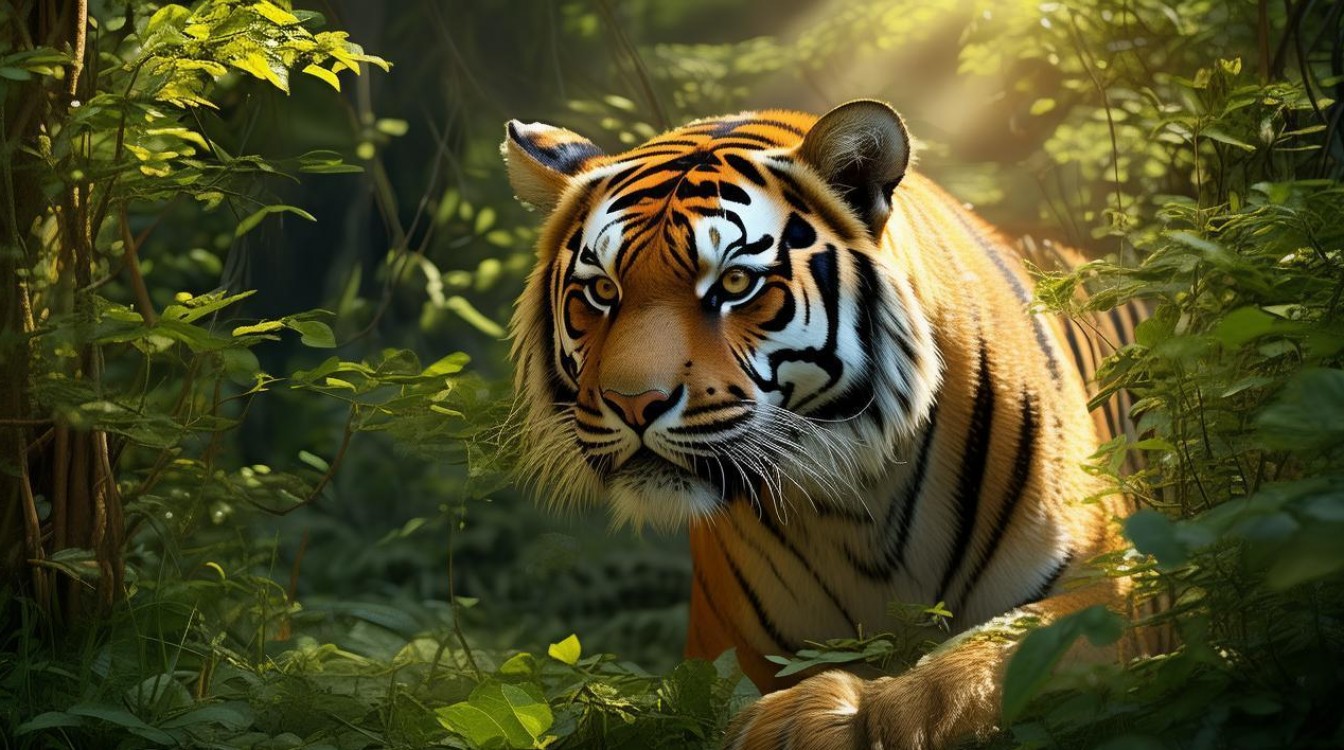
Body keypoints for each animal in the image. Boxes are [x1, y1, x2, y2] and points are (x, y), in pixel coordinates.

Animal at [502, 100, 1145, 749]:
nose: (633, 404)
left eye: (735, 283)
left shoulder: (1112, 584)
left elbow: (990, 660)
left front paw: (831, 717)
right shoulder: (724, 648)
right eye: (603, 291)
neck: (858, 506)